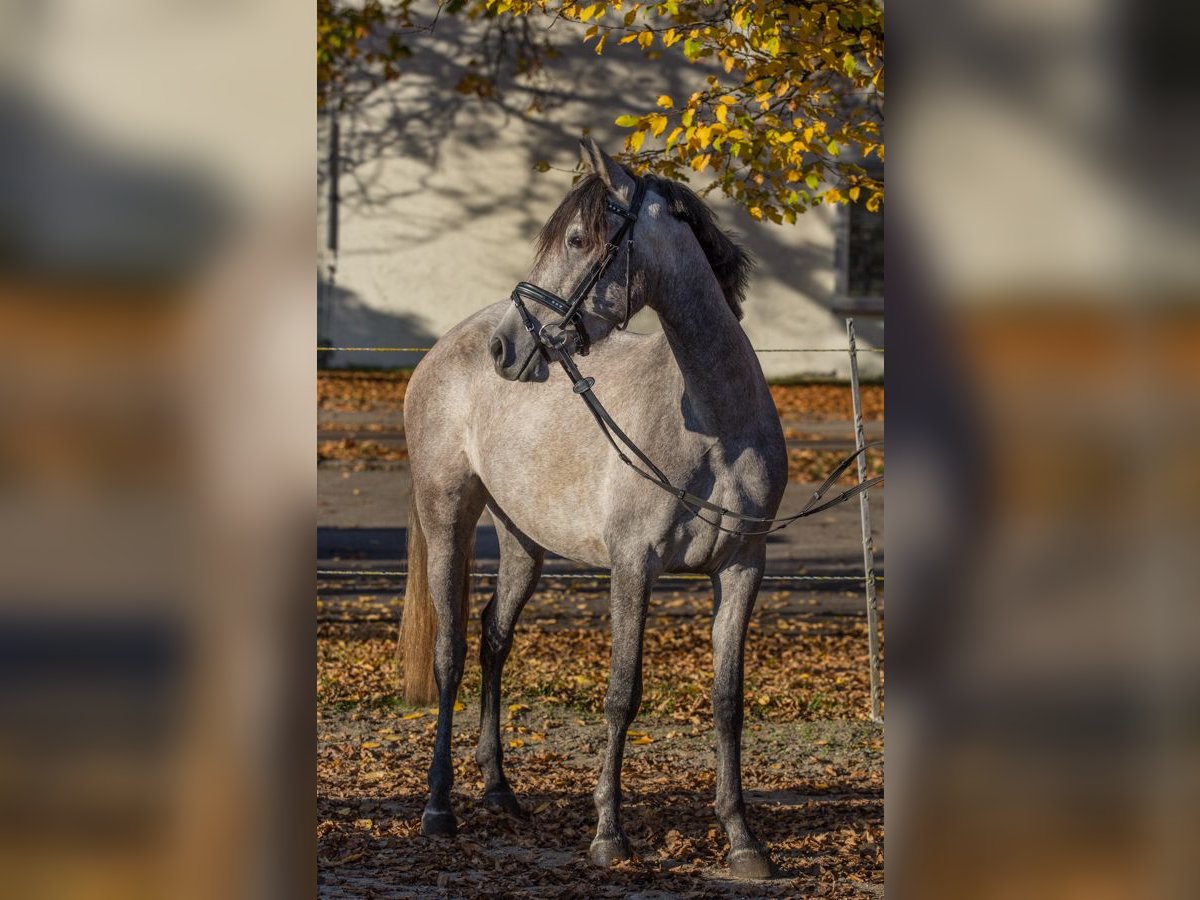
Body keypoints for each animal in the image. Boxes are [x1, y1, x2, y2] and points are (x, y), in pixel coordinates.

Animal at [400, 141, 787, 883]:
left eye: (578, 240)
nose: (506, 348)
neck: (716, 425)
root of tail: (445, 346)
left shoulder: (742, 569)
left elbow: (728, 701)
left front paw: (743, 840)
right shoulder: (633, 566)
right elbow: (622, 693)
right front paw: (610, 834)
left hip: (523, 542)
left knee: (494, 637)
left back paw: (501, 791)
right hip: (446, 519)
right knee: (451, 653)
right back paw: (439, 808)